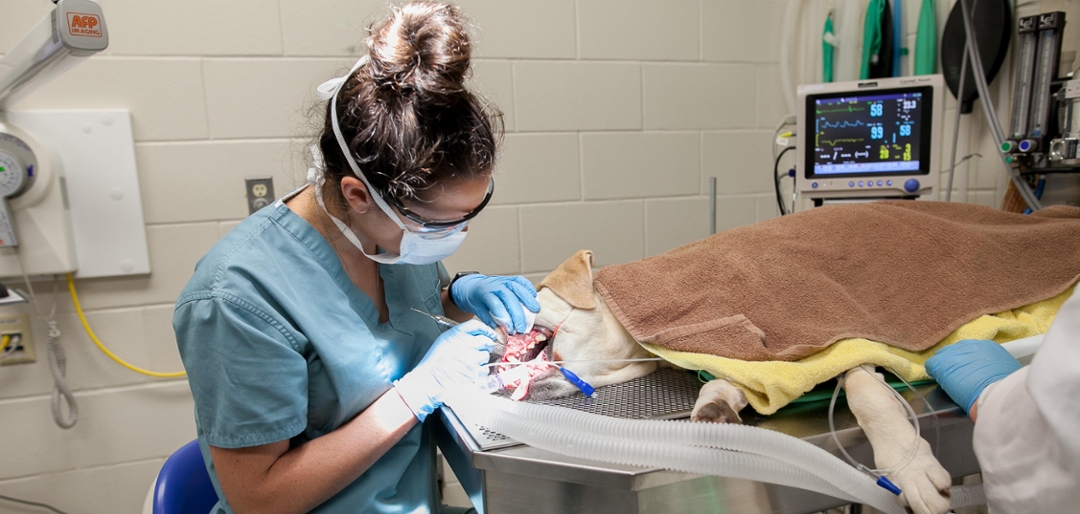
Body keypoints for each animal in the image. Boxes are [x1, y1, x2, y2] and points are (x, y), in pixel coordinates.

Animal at [501, 251, 950, 514]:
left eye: (533, 294)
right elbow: (727, 381)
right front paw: (714, 409)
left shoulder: (845, 340)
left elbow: (865, 390)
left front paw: (909, 464)